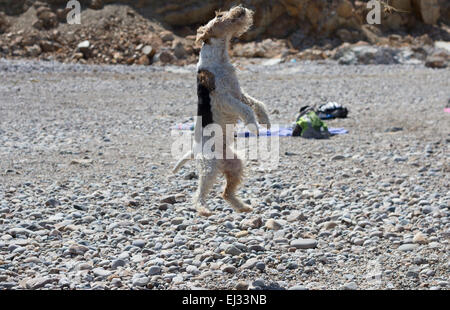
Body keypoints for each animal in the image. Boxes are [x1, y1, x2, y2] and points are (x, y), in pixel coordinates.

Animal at [172, 6, 270, 217]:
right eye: (219, 15)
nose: (240, 8)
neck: (219, 58)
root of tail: (194, 150)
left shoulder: (238, 92)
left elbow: (257, 104)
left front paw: (265, 121)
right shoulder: (224, 97)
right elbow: (246, 109)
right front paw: (254, 126)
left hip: (236, 165)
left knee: (225, 193)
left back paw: (243, 206)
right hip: (209, 167)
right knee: (199, 194)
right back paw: (203, 209)